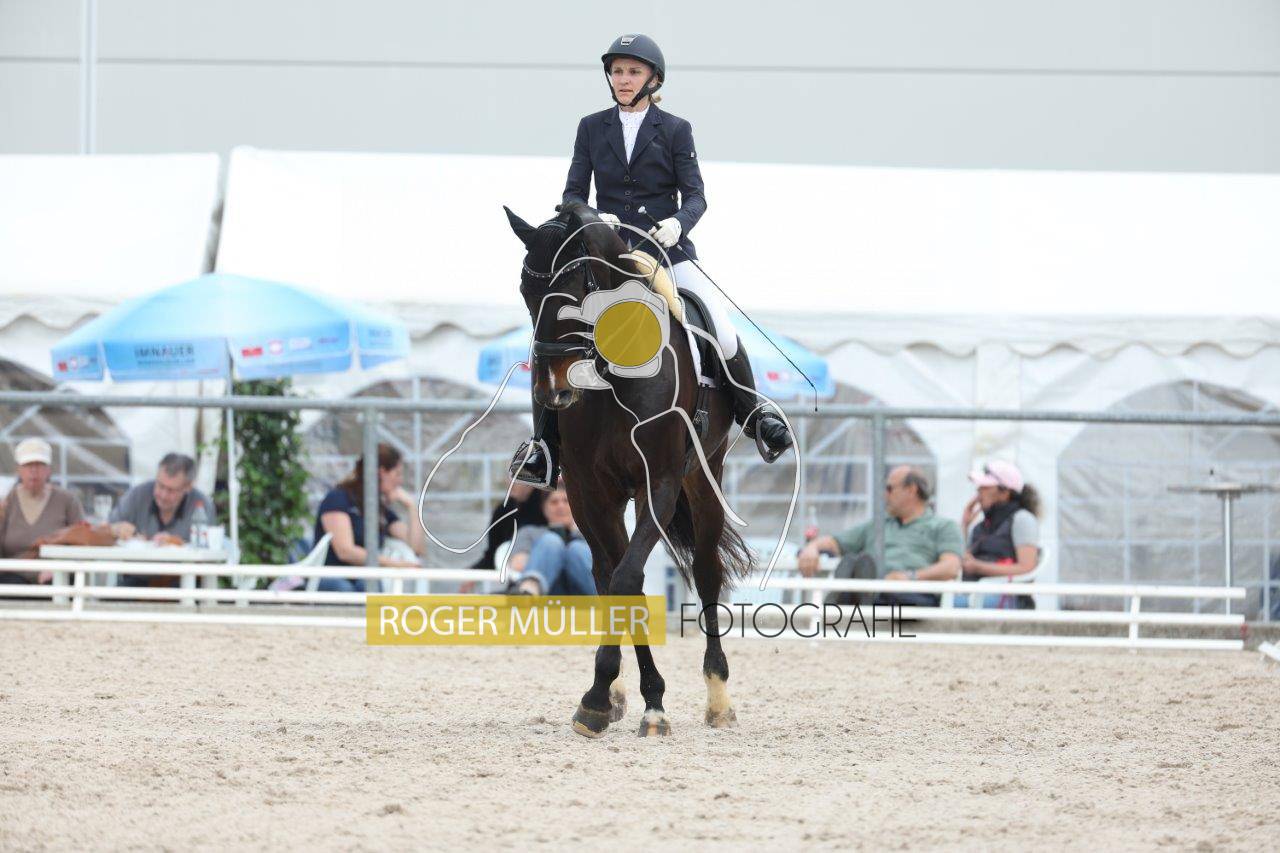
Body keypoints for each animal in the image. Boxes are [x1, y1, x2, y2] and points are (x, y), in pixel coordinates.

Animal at [504, 200, 753, 737]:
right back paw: (622, 694)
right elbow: (619, 582)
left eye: (577, 290)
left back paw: (719, 699)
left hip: (704, 477)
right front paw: (612, 697)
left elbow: (627, 578)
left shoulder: (658, 484)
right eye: (527, 292)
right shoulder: (588, 492)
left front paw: (626, 701)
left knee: (706, 571)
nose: (552, 390)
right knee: (603, 572)